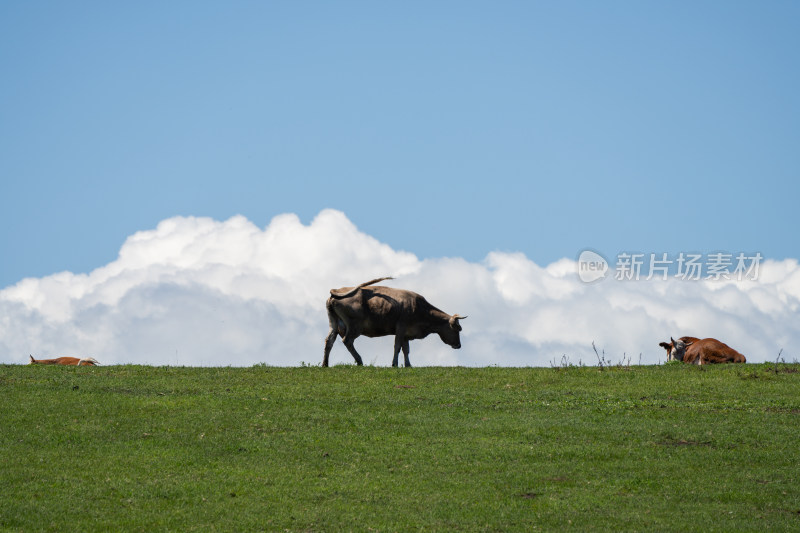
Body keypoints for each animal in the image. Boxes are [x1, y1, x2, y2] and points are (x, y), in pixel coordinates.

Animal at [322, 278, 466, 366]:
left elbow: (406, 349)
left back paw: (325, 364)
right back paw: (359, 361)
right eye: (457, 329)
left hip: (334, 323)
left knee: (329, 341)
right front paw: (394, 364)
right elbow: (397, 347)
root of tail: (337, 291)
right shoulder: (401, 328)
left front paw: (408, 365)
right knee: (347, 341)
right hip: (354, 327)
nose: (459, 345)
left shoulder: (406, 333)